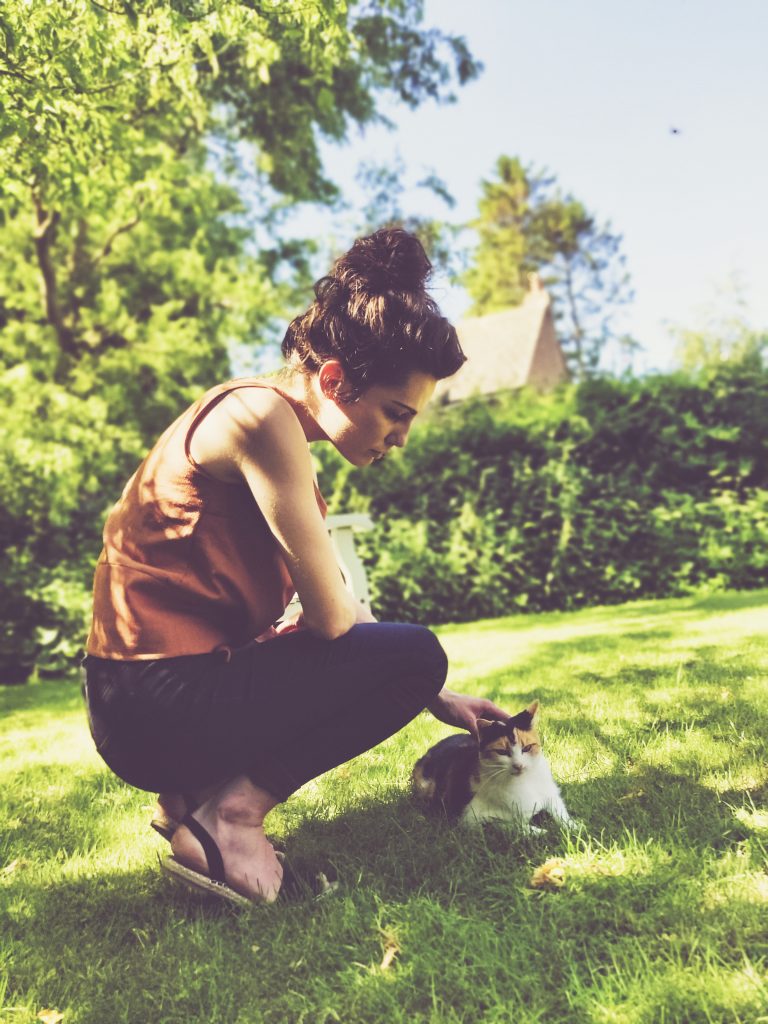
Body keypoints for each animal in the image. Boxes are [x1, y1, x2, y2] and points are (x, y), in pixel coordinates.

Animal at [411, 696, 573, 831]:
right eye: (502, 752)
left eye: (527, 748)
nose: (519, 765)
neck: (523, 782)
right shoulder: (473, 818)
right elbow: (513, 826)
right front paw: (540, 832)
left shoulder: (550, 793)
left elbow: (560, 812)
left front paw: (574, 829)